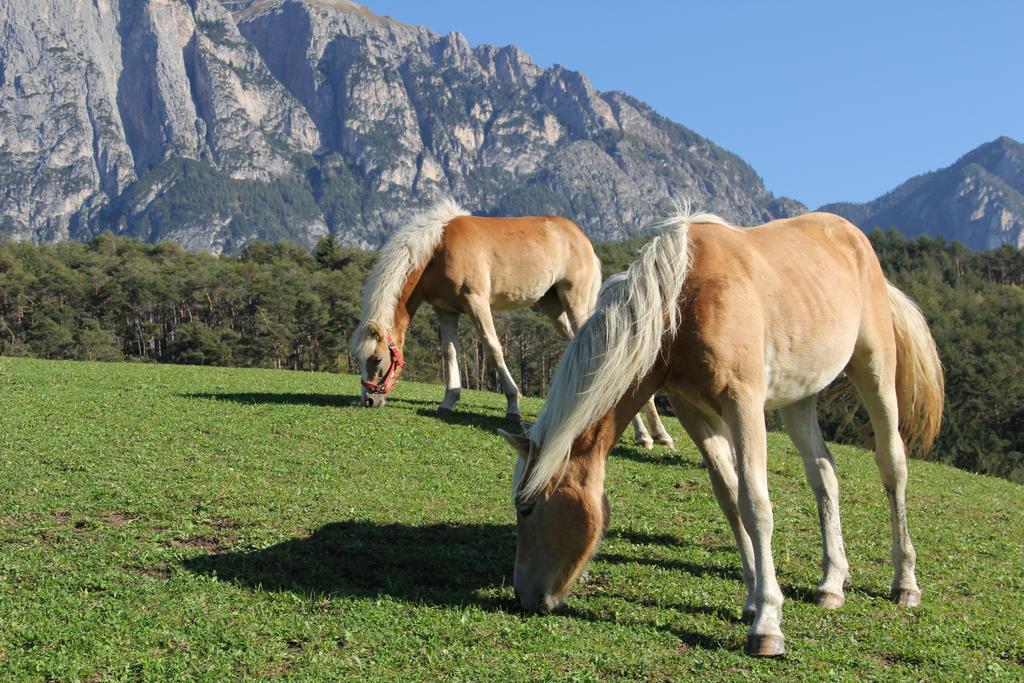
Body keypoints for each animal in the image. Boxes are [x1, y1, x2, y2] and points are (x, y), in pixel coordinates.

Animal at [499, 206, 937, 655]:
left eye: (527, 507)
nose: (523, 596)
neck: (681, 300)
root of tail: (852, 237)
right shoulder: (695, 413)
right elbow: (730, 499)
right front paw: (752, 598)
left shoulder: (743, 404)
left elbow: (756, 505)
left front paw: (767, 624)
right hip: (800, 397)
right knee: (824, 474)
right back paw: (832, 582)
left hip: (874, 371)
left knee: (892, 466)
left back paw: (905, 583)